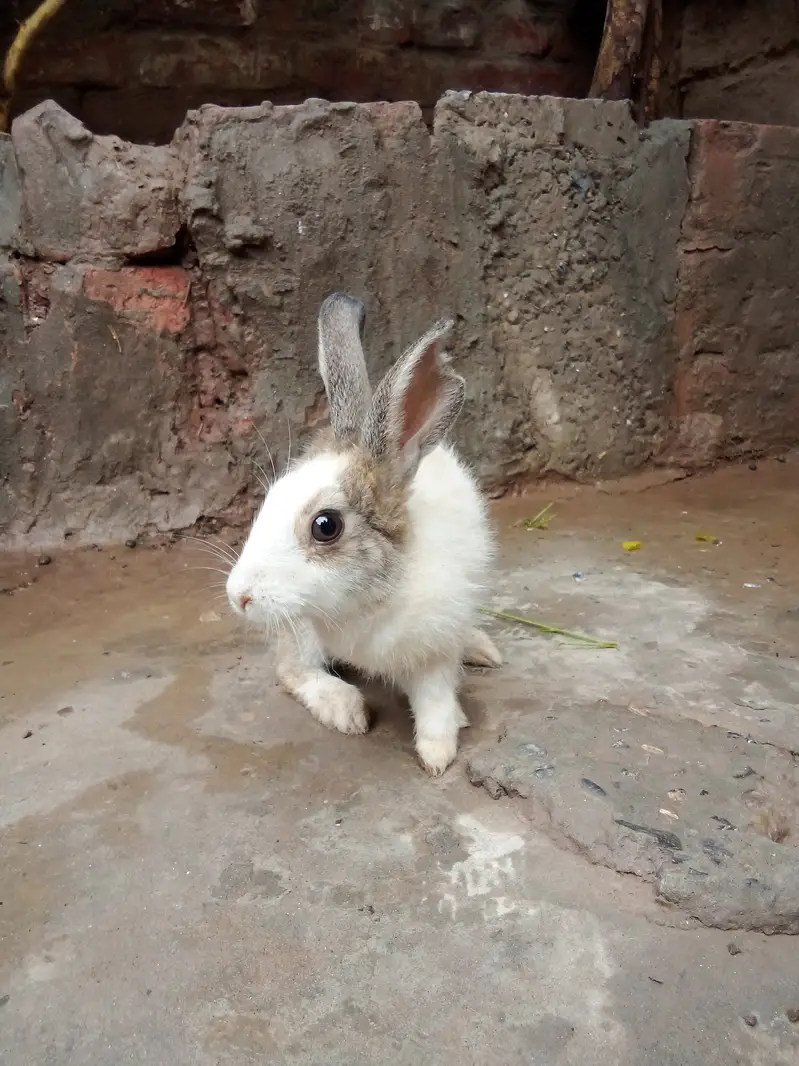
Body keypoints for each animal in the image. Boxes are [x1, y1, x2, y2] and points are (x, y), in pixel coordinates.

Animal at [226, 292, 501, 775]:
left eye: (325, 526)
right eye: (270, 498)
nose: (238, 596)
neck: (366, 602)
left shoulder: (434, 649)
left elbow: (435, 701)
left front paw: (437, 752)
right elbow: (295, 672)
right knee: (292, 670)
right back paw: (345, 707)